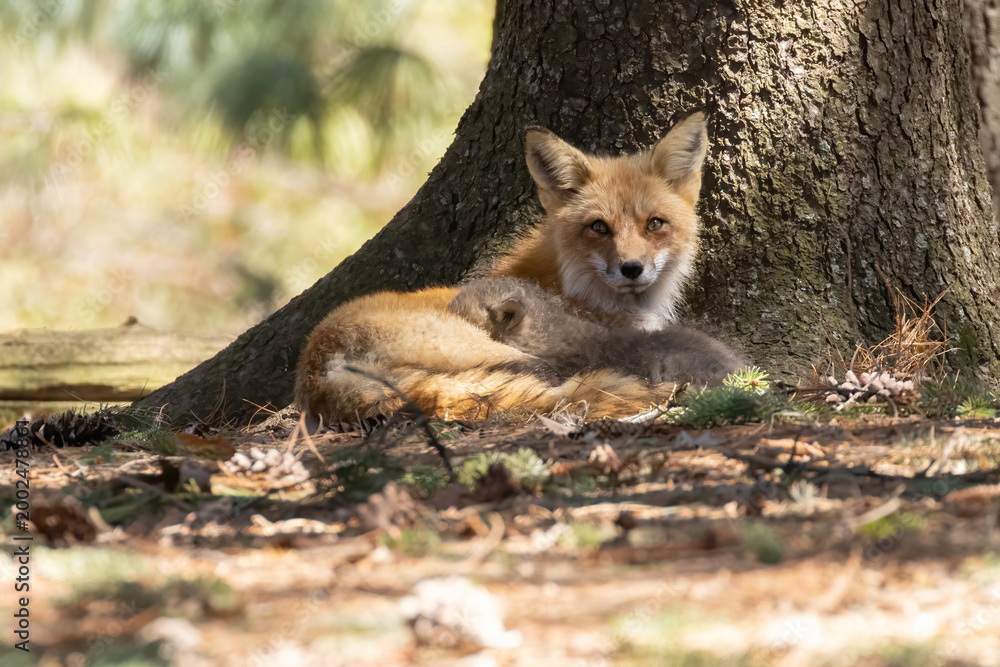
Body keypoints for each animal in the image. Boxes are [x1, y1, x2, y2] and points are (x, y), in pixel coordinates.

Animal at [295, 113, 710, 423]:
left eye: (654, 224)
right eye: (598, 227)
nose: (631, 268)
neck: (573, 285)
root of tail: (316, 367)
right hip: (505, 353)